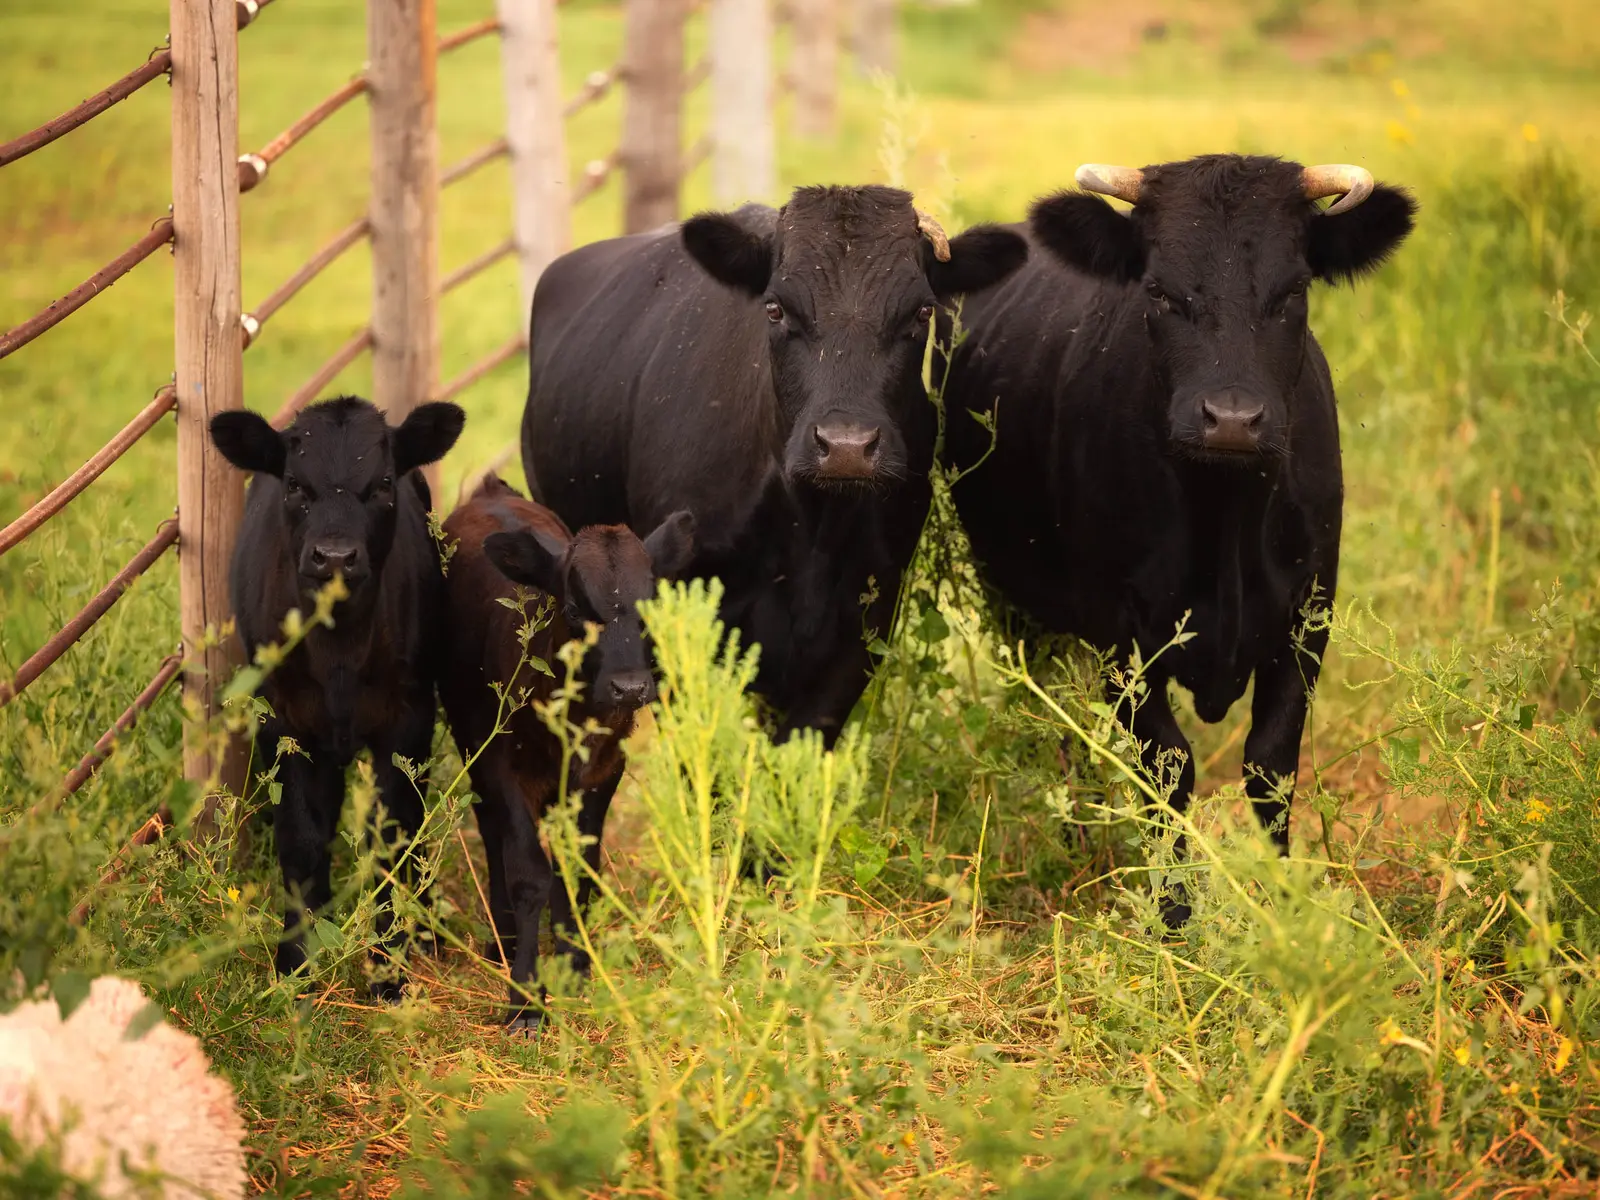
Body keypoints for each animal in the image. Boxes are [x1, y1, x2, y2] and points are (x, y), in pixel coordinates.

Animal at [209, 396, 465, 995]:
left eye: (383, 483)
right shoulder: (285, 722)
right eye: (295, 484)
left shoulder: (409, 719)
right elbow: (302, 836)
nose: (334, 557)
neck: (340, 653)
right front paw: (296, 962)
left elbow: (394, 833)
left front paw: (388, 966)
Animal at [438, 476, 694, 1030]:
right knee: (494, 837)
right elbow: (529, 872)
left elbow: (580, 870)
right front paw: (525, 997)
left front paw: (576, 971)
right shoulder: (505, 770)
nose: (630, 687)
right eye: (577, 610)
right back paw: (504, 939)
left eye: (648, 609)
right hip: (473, 747)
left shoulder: (604, 773)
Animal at [941, 155, 1416, 922]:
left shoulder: (1309, 617)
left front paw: (1281, 909)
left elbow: (1271, 764)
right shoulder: (1122, 637)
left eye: (1292, 290)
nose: (1232, 419)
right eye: (1160, 292)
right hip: (1016, 603)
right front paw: (1174, 916)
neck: (1225, 520)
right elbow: (1166, 766)